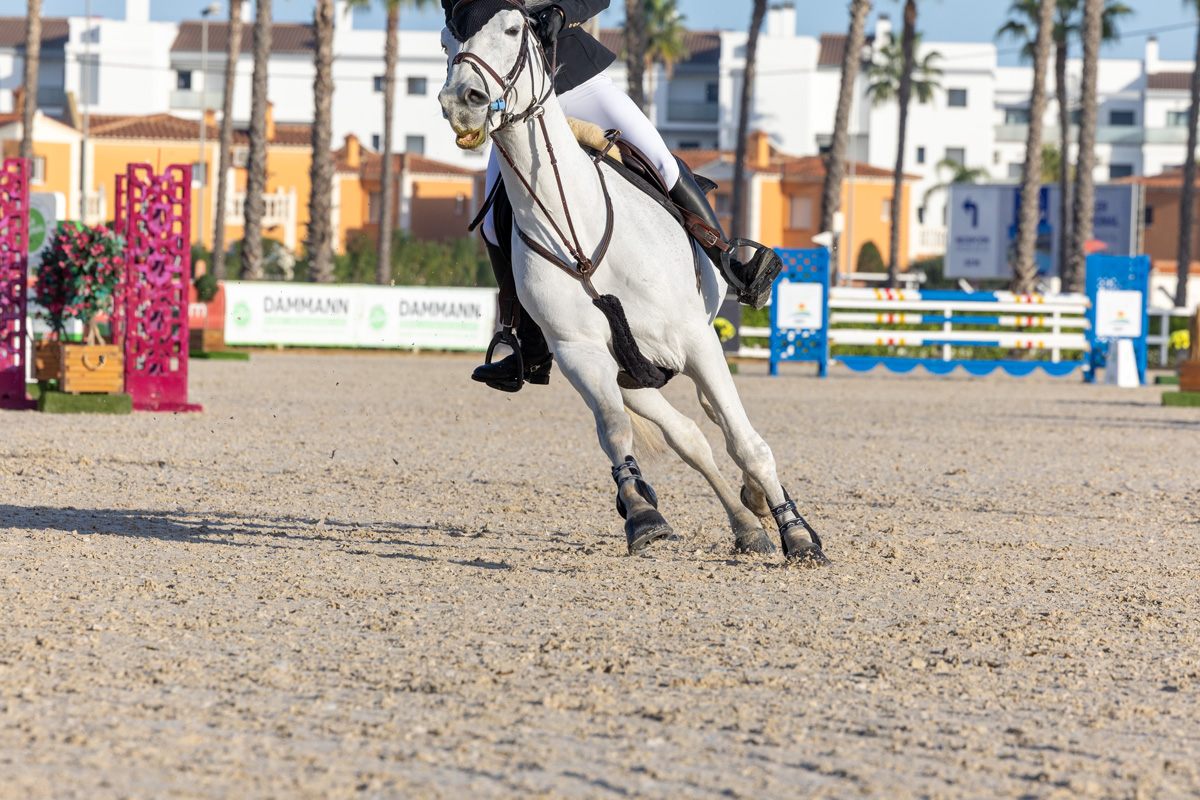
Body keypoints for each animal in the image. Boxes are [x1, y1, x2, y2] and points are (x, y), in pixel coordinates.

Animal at [438, 0, 828, 564]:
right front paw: (642, 514)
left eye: (513, 29)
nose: (461, 102)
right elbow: (615, 428)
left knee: (724, 423)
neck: (576, 227)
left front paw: (797, 534)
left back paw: (763, 505)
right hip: (635, 373)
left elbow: (746, 443)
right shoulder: (582, 352)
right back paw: (745, 523)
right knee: (691, 435)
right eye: (447, 43)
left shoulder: (694, 339)